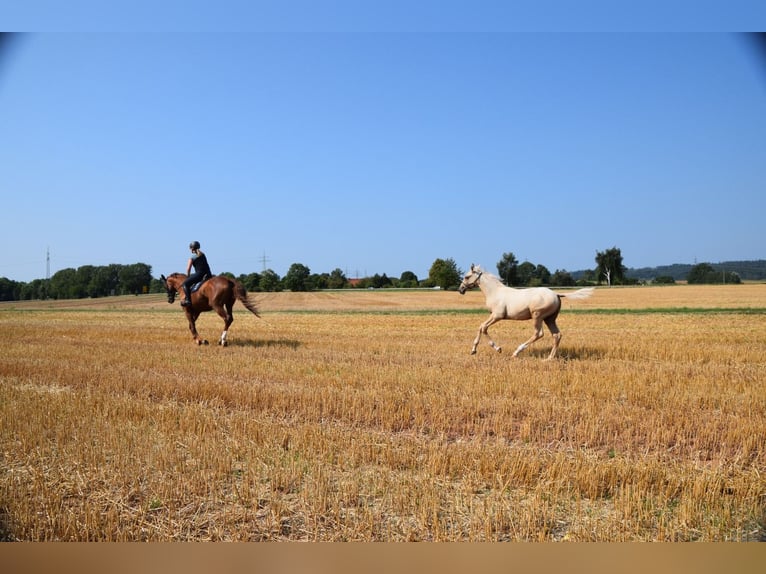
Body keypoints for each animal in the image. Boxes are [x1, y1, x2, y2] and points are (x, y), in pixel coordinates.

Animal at [460, 264, 596, 360]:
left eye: (467, 276)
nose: (461, 289)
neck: (495, 292)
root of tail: (557, 294)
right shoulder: (493, 316)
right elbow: (481, 327)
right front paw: (473, 351)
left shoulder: (497, 316)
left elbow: (483, 327)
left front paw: (498, 348)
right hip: (550, 319)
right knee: (556, 335)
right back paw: (549, 358)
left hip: (537, 316)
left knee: (538, 333)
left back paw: (516, 352)